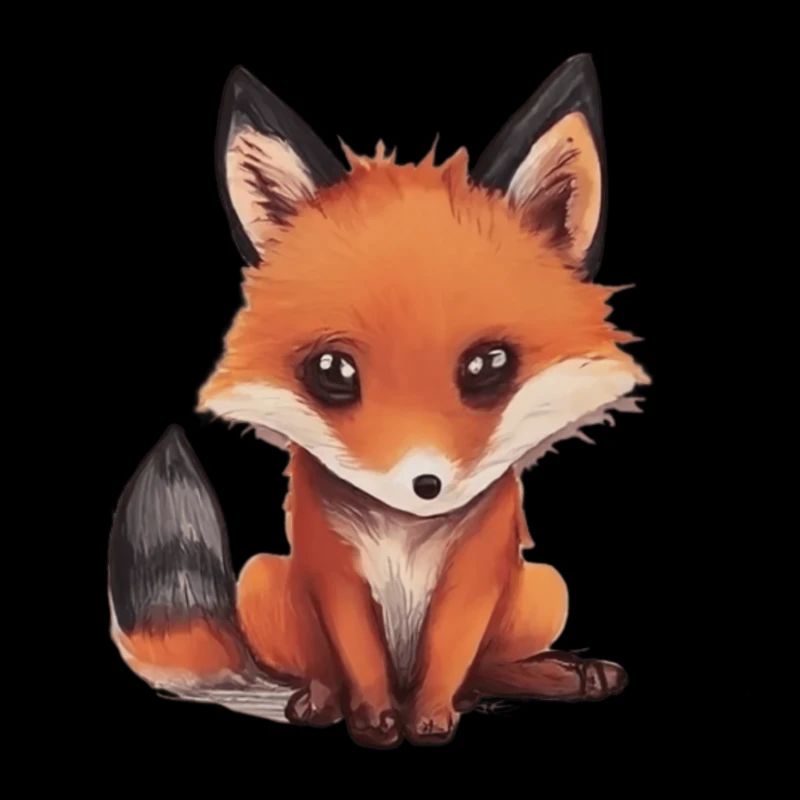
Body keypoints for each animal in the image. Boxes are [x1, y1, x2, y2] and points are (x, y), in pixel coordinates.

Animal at [108, 54, 650, 748]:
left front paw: (431, 720)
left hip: (547, 591)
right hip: (260, 580)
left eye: (488, 365)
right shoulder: (334, 572)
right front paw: (374, 721)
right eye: (332, 370)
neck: (406, 535)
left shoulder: (474, 575)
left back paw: (551, 677)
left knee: (487, 669)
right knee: (320, 667)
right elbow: (359, 658)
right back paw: (316, 700)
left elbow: (450, 656)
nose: (424, 485)